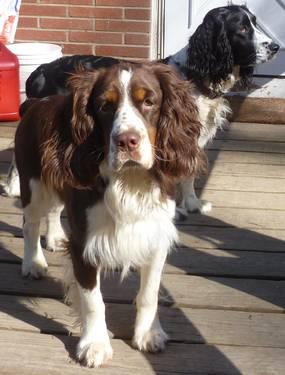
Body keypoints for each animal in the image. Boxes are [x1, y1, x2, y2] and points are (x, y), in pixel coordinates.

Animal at [5, 4, 278, 213]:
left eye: (255, 23)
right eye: (242, 28)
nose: (276, 47)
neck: (195, 75)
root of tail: (42, 70)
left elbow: (188, 174)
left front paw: (192, 204)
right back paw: (14, 187)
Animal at [15, 63, 202, 368]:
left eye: (149, 102)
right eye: (104, 106)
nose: (127, 141)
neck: (130, 181)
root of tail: (34, 103)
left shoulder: (156, 235)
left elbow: (149, 293)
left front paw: (148, 333)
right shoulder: (84, 244)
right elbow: (93, 301)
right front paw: (95, 344)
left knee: (54, 210)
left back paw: (54, 238)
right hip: (32, 182)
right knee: (30, 222)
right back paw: (33, 263)